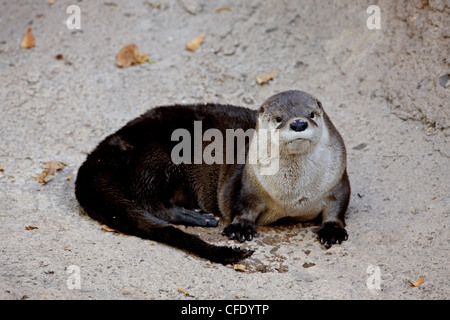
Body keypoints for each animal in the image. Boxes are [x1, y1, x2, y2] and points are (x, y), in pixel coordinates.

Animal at [74, 90, 352, 264]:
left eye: (312, 114)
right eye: (278, 118)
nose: (298, 123)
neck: (293, 196)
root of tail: (118, 139)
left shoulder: (337, 181)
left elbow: (338, 206)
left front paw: (332, 230)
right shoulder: (247, 184)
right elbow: (243, 206)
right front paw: (240, 228)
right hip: (159, 156)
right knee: (148, 200)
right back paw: (197, 216)